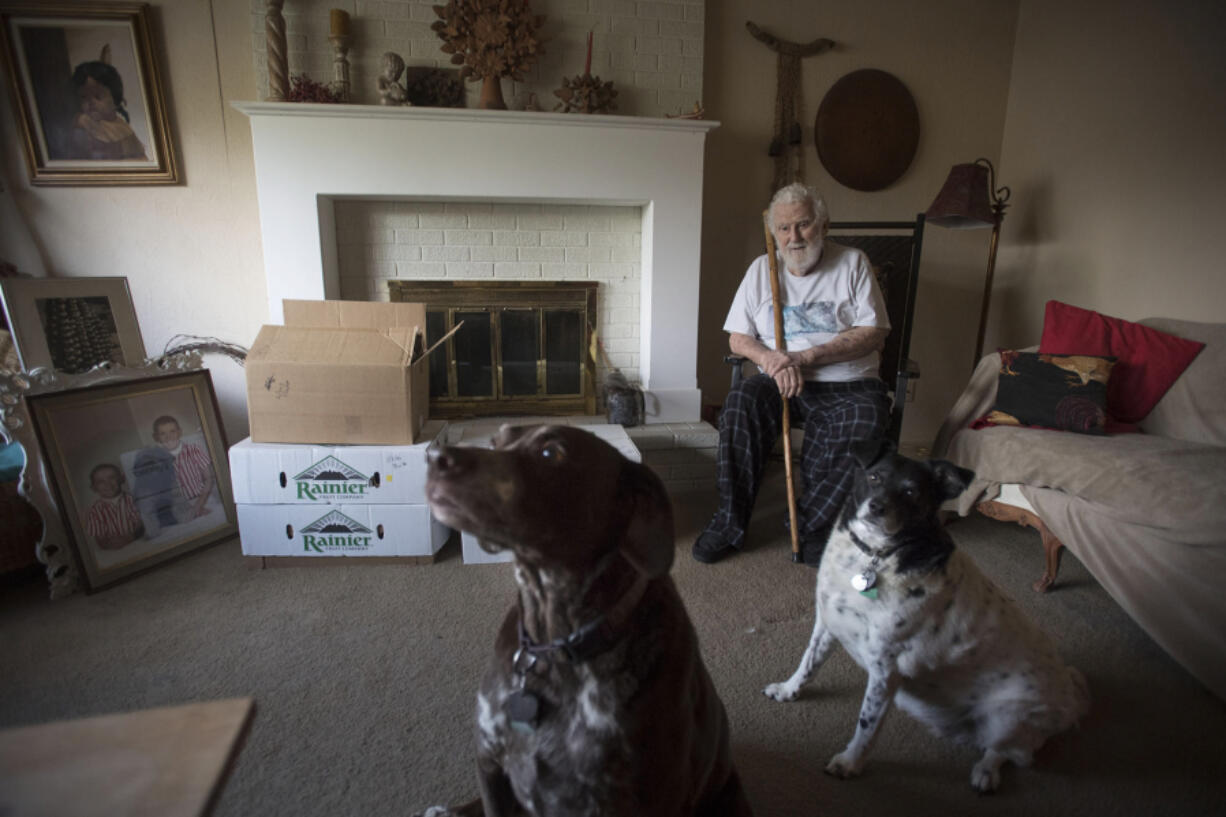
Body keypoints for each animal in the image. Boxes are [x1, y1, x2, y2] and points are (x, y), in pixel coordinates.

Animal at [760, 439, 1088, 790]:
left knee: (1008, 752)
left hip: (1006, 719)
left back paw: (985, 774)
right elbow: (808, 664)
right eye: (874, 477)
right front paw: (787, 690)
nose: (877, 507)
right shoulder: (827, 624)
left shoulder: (885, 669)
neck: (876, 555)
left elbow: (866, 725)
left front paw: (850, 763)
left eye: (911, 492)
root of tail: (1070, 694)